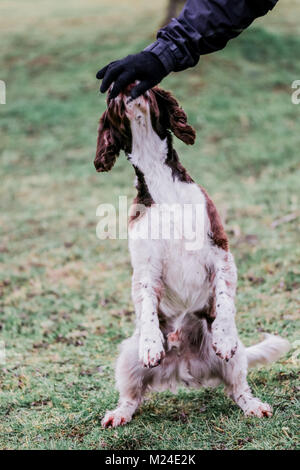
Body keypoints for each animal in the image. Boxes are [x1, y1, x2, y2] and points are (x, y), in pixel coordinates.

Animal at [94, 83, 290, 426]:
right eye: (111, 93)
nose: (130, 83)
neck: (159, 179)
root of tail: (183, 368)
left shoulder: (220, 250)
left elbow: (224, 300)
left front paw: (223, 336)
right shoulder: (145, 266)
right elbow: (146, 306)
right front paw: (152, 345)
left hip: (235, 359)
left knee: (238, 387)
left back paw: (253, 405)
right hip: (128, 354)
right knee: (132, 395)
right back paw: (119, 413)